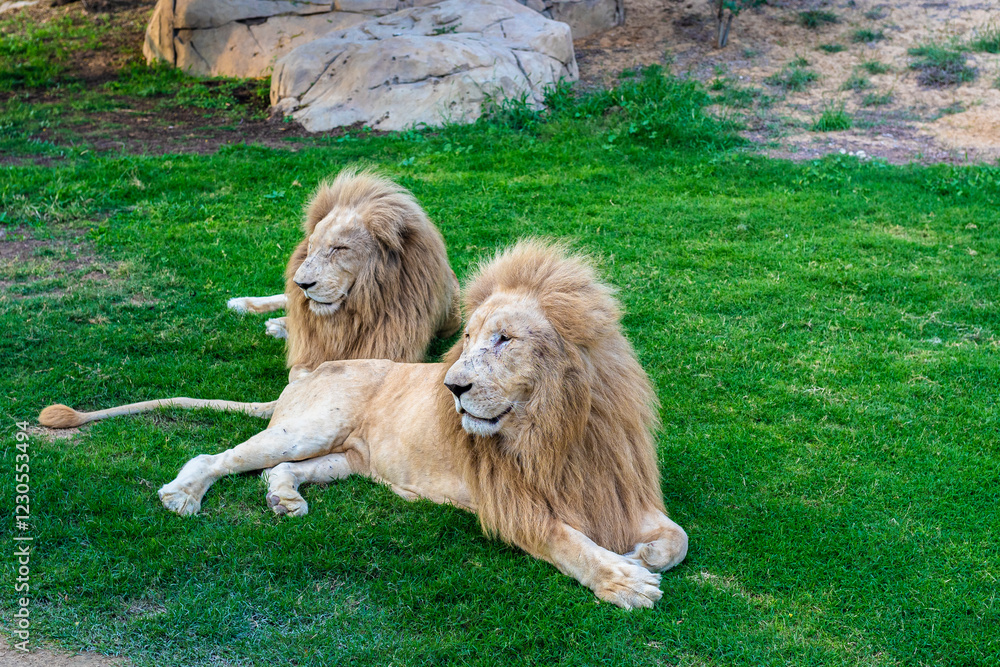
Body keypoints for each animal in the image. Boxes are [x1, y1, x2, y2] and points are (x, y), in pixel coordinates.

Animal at [39, 240, 687, 608]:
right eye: (468, 339)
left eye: (505, 340)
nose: (452, 388)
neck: (558, 425)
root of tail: (308, 373)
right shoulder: (509, 503)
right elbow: (566, 541)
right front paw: (624, 581)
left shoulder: (623, 488)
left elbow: (675, 540)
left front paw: (640, 555)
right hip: (307, 427)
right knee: (221, 459)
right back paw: (184, 495)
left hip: (347, 457)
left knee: (281, 470)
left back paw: (284, 500)